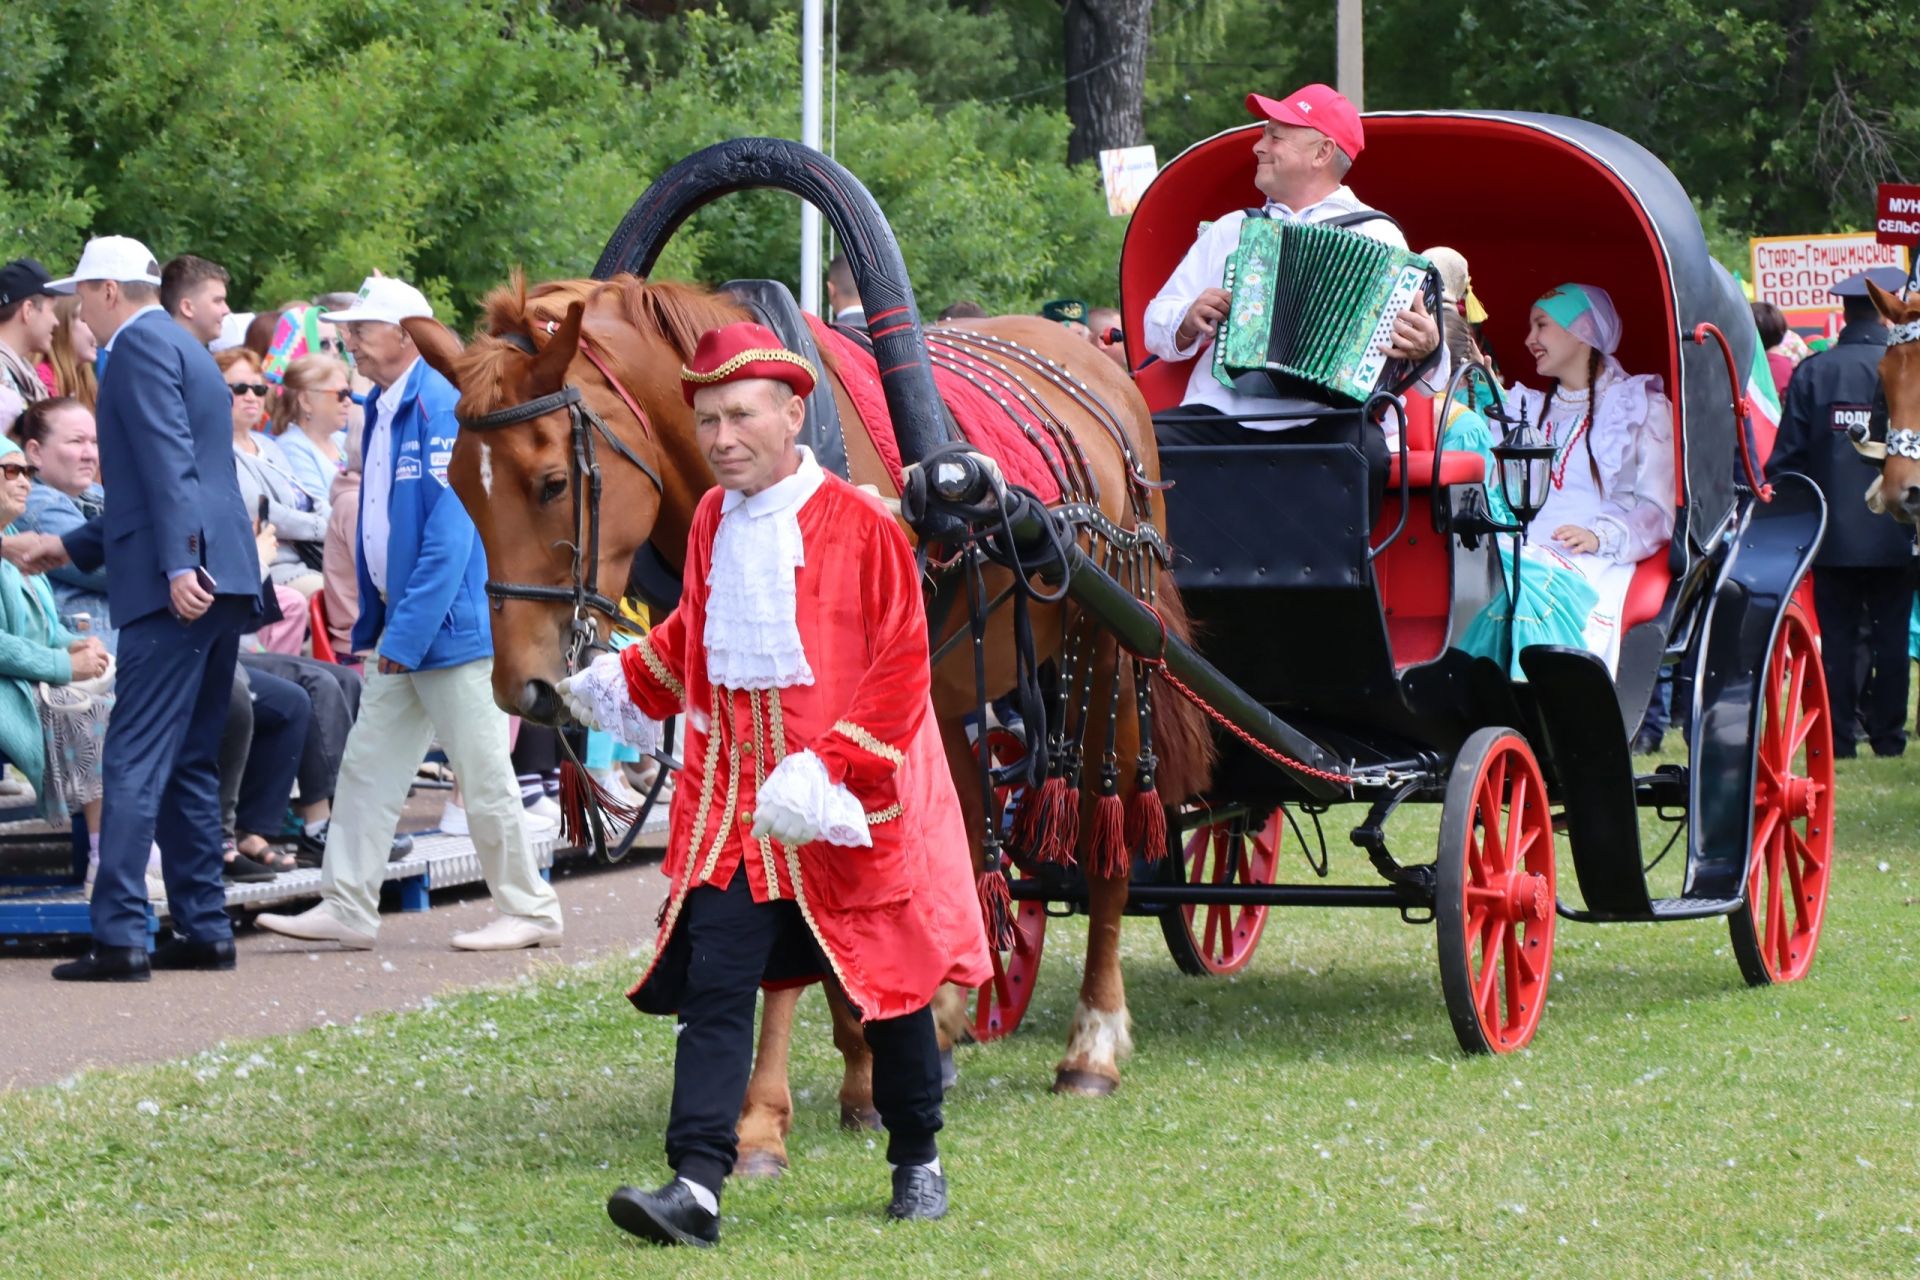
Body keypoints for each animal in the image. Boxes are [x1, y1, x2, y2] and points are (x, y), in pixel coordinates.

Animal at [403, 276, 1205, 1174]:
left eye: (549, 482)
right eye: (460, 490)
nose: (525, 689)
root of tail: (1098, 366)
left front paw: (803, 1095)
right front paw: (835, 1080)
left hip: (1106, 651)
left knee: (1109, 832)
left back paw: (1091, 1043)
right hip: (949, 697)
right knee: (962, 835)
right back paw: (943, 1016)